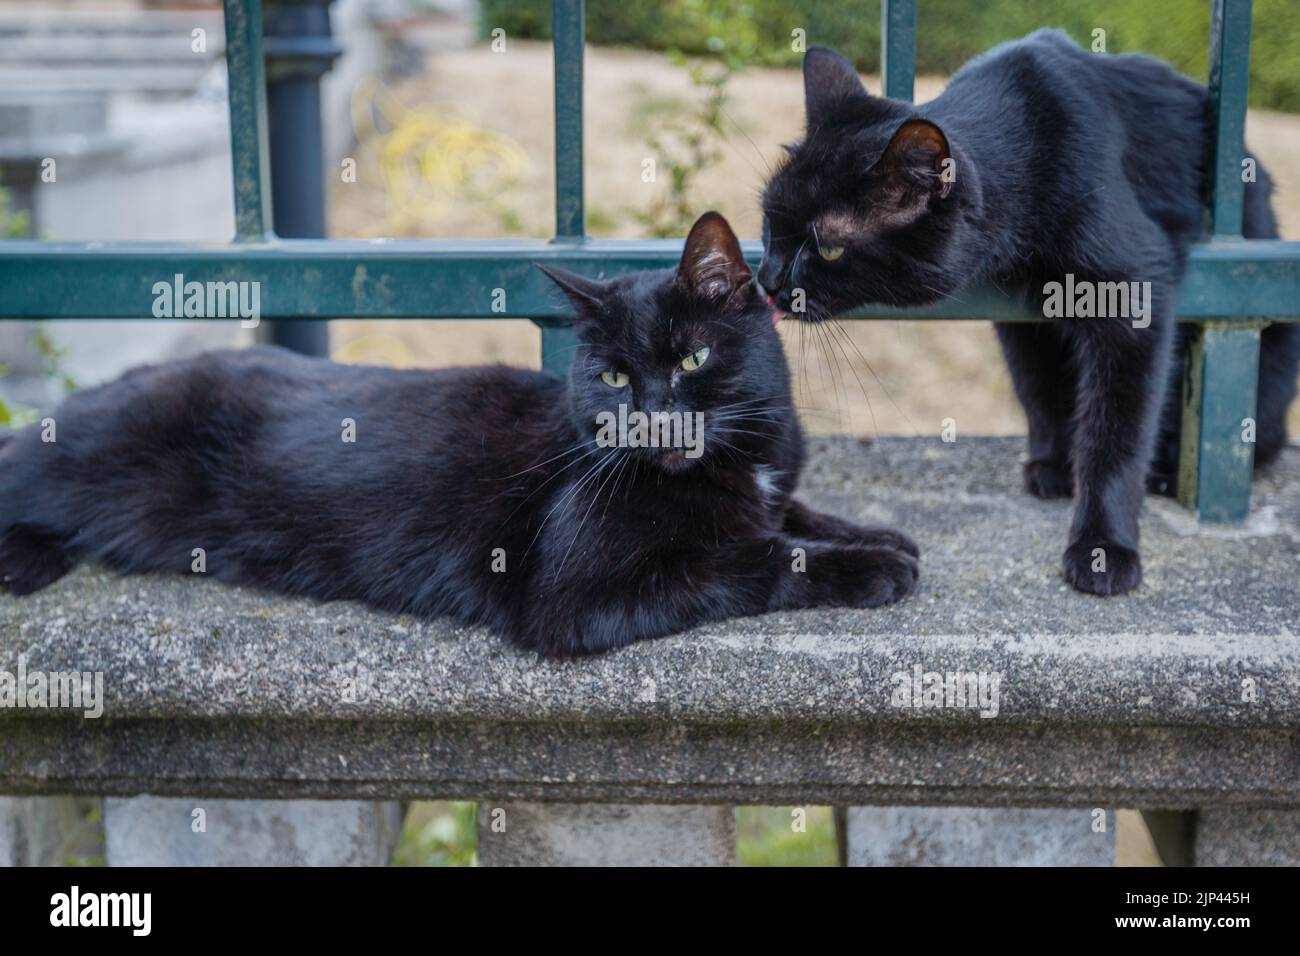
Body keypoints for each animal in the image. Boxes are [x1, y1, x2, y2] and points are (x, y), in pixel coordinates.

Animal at [0, 212, 915, 658]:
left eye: (691, 357)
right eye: (614, 378)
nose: (654, 415)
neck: (733, 462)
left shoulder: (764, 487)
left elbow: (785, 514)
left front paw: (873, 531)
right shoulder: (579, 597)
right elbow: (755, 558)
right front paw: (871, 567)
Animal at [759, 39, 1300, 598]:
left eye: (828, 248)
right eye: (769, 221)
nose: (767, 278)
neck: (1034, 138)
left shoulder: (1133, 298)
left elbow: (1116, 433)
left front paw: (1103, 548)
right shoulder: (1022, 319)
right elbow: (1039, 389)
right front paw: (1055, 466)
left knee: (1261, 438)